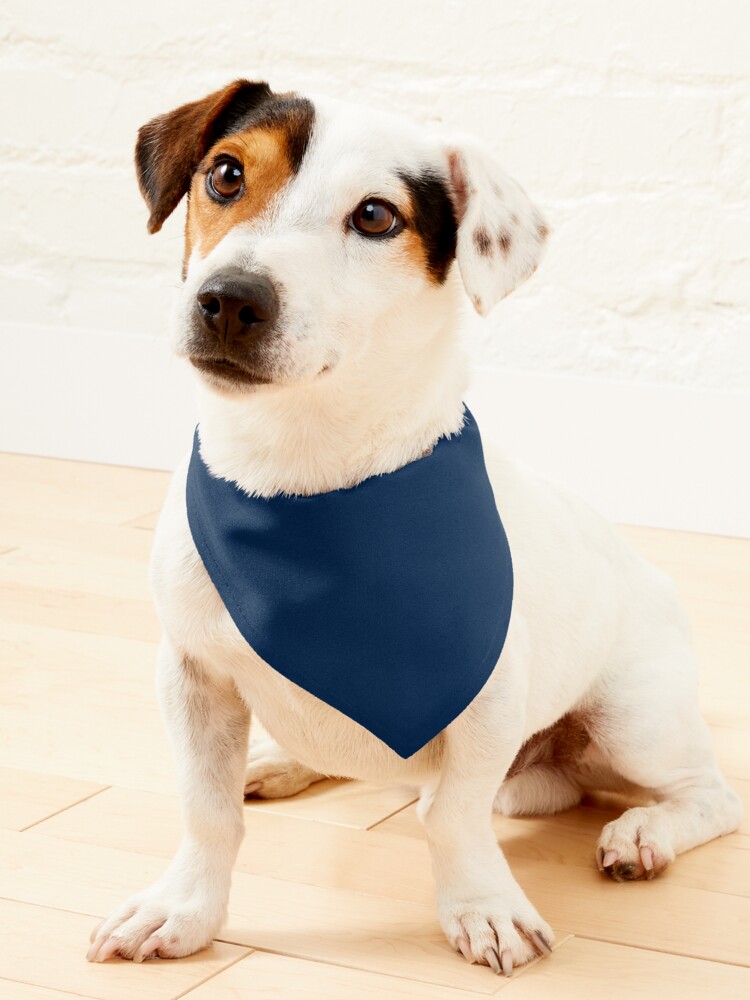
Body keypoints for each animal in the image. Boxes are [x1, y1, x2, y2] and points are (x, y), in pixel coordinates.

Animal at [85, 80, 744, 976]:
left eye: (375, 216)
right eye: (225, 174)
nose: (229, 299)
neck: (305, 480)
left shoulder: (486, 698)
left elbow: (454, 816)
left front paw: (483, 907)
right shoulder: (192, 676)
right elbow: (207, 811)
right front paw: (183, 909)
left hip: (634, 720)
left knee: (708, 796)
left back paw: (644, 833)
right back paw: (282, 761)